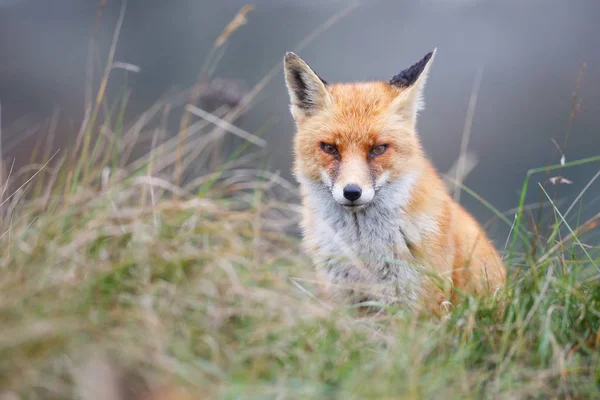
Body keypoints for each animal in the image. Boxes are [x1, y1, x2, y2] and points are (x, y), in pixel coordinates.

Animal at [282, 49, 506, 312]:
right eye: (329, 148)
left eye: (378, 149)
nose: (352, 192)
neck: (364, 256)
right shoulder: (343, 302)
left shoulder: (419, 305)